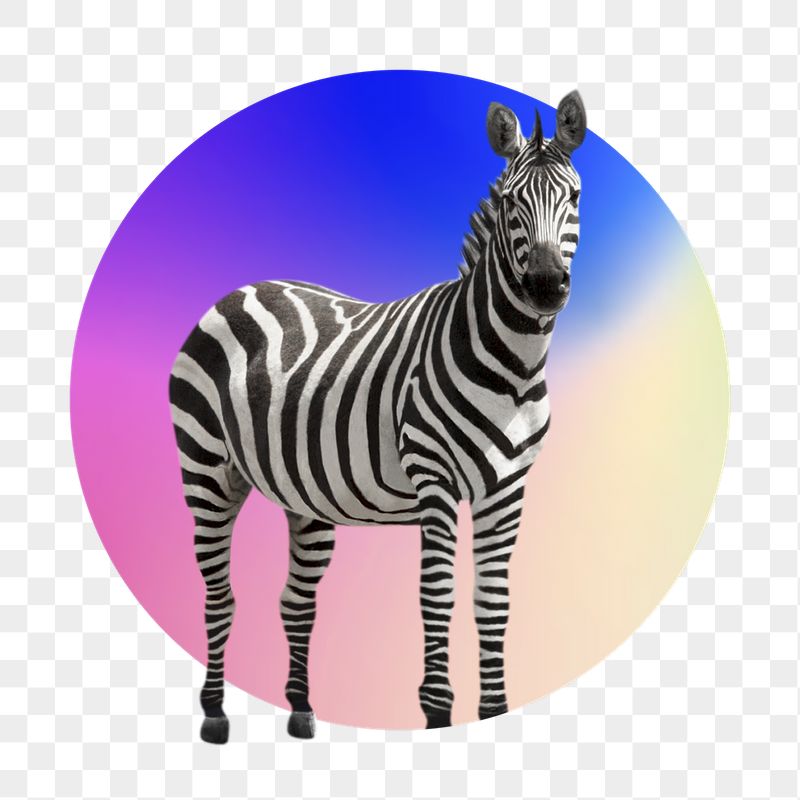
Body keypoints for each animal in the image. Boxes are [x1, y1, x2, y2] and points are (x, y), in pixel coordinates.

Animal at [169, 91, 587, 742]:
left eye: (574, 197)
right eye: (510, 202)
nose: (544, 286)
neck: (513, 368)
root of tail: (240, 290)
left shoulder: (508, 489)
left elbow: (492, 602)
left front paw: (493, 710)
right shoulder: (435, 480)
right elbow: (437, 595)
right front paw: (438, 713)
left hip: (304, 495)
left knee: (296, 602)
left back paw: (301, 711)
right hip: (209, 473)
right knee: (220, 596)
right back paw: (214, 714)